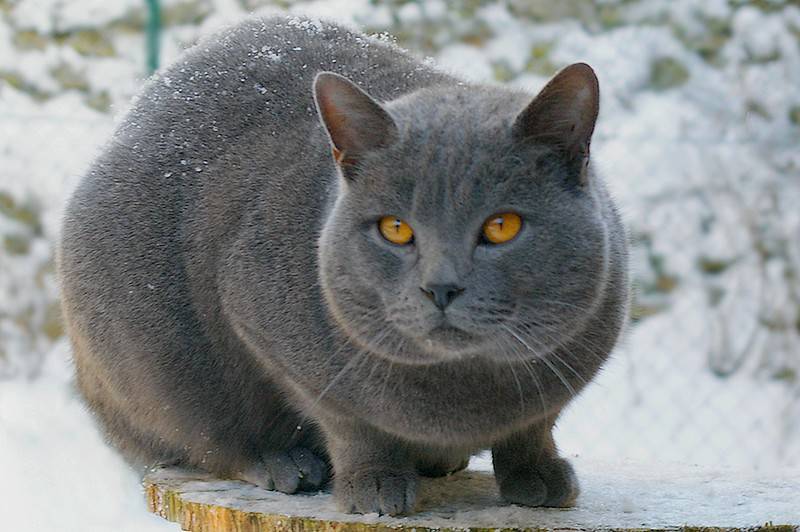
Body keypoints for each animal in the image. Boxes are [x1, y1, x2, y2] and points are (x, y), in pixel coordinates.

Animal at [59, 15, 628, 516]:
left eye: (502, 226)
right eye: (395, 229)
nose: (440, 287)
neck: (464, 387)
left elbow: (534, 425)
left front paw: (538, 474)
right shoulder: (263, 328)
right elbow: (347, 421)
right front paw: (373, 484)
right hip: (153, 362)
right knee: (208, 438)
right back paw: (285, 464)